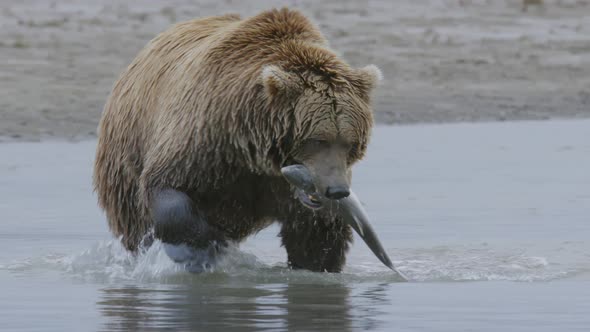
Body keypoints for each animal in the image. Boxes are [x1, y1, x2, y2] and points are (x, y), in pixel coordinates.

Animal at [94, 7, 382, 272]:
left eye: (351, 143)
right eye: (317, 140)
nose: (337, 190)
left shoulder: (282, 189)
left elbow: (315, 236)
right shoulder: (207, 140)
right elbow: (166, 186)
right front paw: (203, 247)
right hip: (125, 158)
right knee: (135, 225)